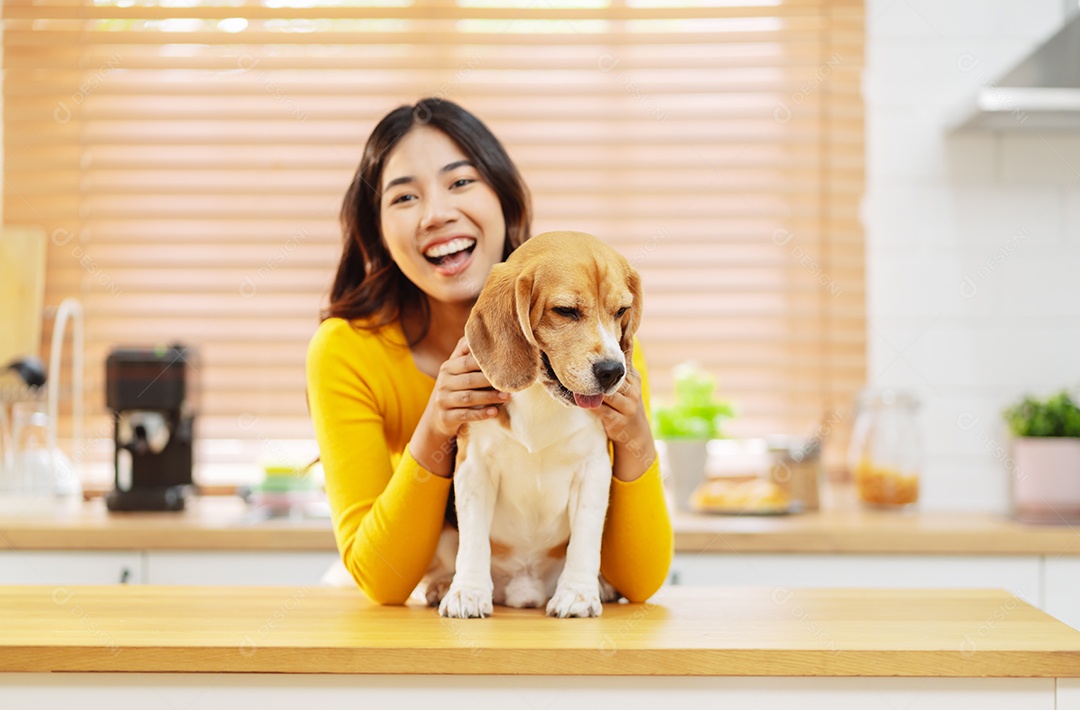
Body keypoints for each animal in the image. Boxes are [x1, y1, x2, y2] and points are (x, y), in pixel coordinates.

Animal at [423, 231, 639, 613]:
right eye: (565, 311)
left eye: (621, 311)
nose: (613, 371)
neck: (543, 396)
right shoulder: (474, 467)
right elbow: (473, 540)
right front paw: (467, 592)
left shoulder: (593, 470)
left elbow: (585, 539)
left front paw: (577, 594)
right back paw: (443, 585)